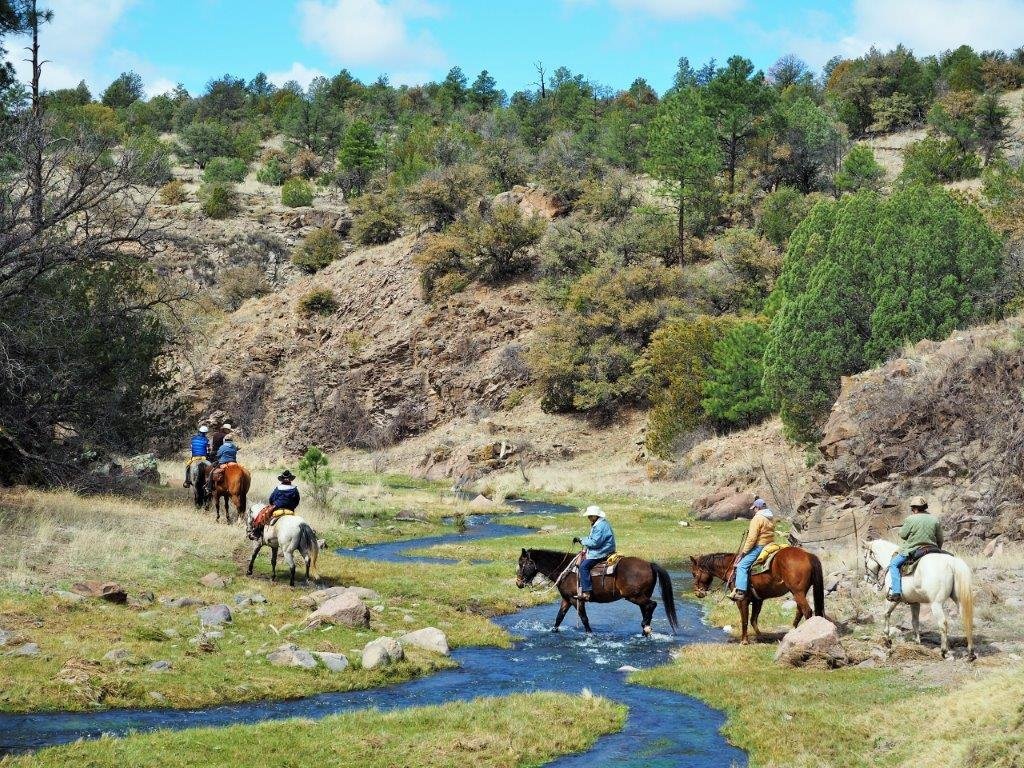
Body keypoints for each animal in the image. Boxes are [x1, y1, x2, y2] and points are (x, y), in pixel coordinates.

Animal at [512, 548, 679, 638]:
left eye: (521, 563)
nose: (518, 583)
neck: (565, 570)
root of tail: (649, 564)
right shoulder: (566, 599)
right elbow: (559, 618)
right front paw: (553, 631)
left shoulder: (576, 599)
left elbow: (584, 618)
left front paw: (590, 635)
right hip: (641, 595)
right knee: (647, 609)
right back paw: (645, 631)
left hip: (634, 596)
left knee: (652, 605)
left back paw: (646, 628)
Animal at [688, 548, 823, 647]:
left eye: (694, 573)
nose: (697, 593)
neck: (732, 569)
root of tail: (807, 555)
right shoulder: (758, 600)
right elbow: (753, 619)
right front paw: (760, 637)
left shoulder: (742, 600)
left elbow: (744, 620)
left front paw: (744, 641)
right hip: (799, 592)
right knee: (800, 610)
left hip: (798, 592)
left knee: (807, 611)